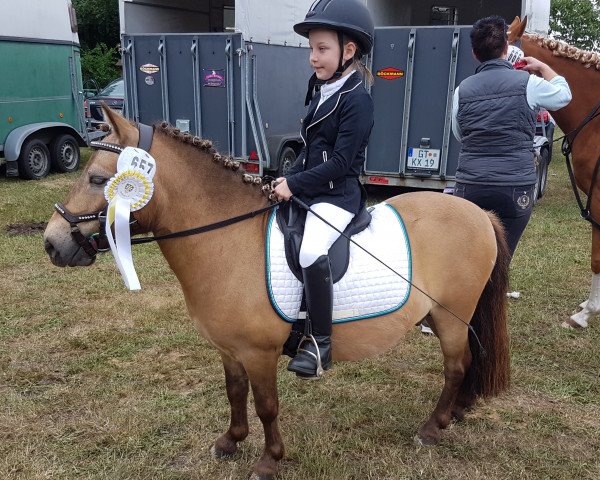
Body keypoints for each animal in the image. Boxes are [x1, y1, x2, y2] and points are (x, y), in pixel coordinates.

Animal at [42, 109, 510, 480]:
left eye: (99, 179)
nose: (51, 243)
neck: (227, 239)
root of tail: (478, 212)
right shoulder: (228, 348)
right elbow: (234, 393)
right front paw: (230, 441)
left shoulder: (259, 352)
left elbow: (267, 405)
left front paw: (269, 461)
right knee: (470, 359)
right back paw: (457, 412)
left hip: (450, 316)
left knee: (456, 365)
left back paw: (433, 427)